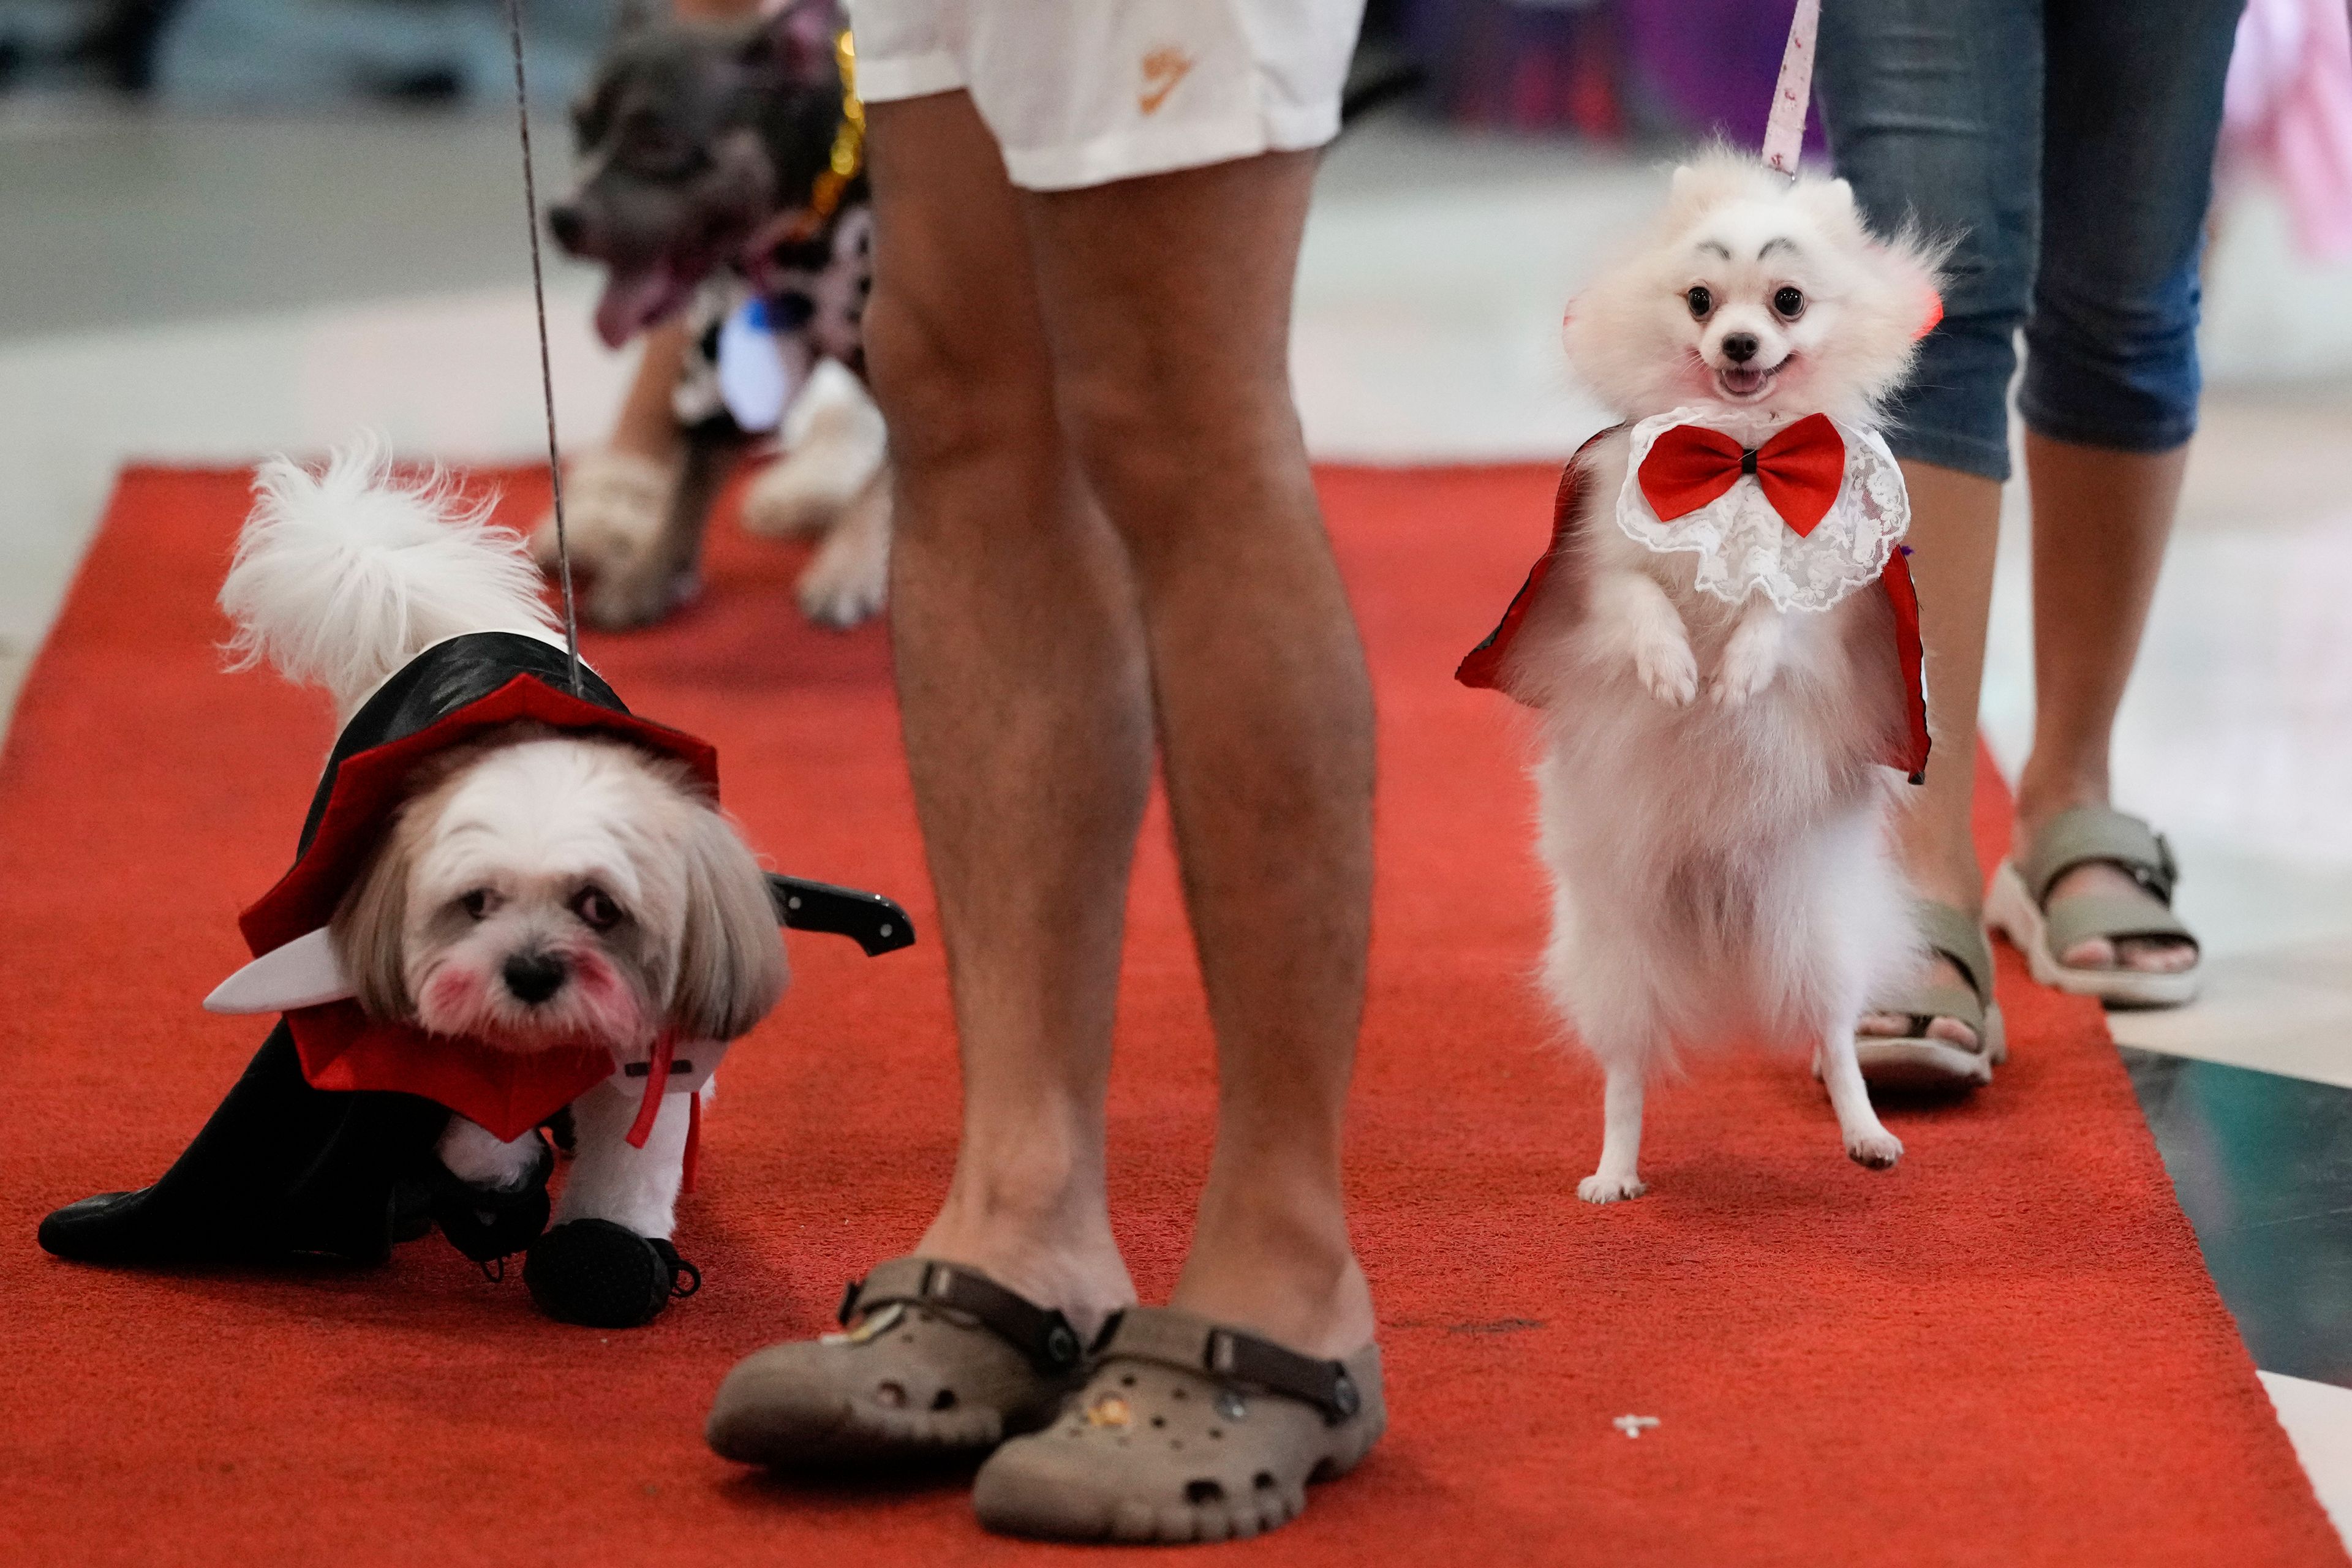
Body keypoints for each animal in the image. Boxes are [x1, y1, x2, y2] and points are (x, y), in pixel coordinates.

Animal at [1458, 150, 1938, 1204]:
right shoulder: (1600, 572)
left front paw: (1738, 673)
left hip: (1815, 929)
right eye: (1701, 300)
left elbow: (1776, 613)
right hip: (1616, 952)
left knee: (1837, 1041)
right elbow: (1640, 600)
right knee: (1627, 1076)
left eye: (1789, 299)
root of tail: (1720, 914)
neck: (1744, 455)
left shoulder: (1831, 606)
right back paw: (1614, 1173)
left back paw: (1868, 1133)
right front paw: (1674, 670)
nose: (1741, 341)